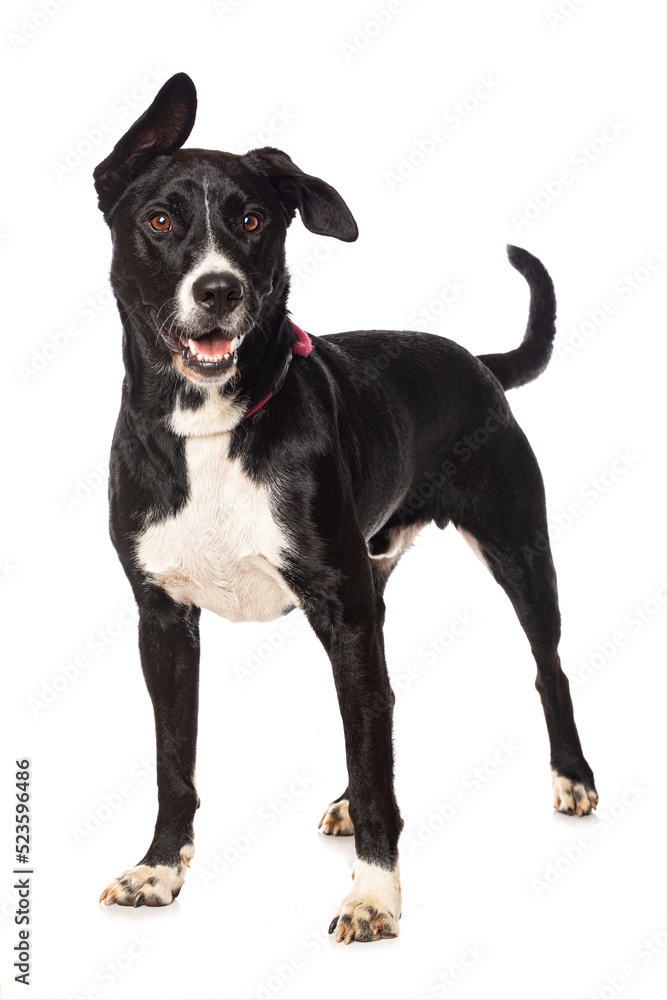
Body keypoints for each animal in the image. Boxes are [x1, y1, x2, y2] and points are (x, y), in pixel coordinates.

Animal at [95, 74, 600, 940]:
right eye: (158, 219)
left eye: (252, 219)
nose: (219, 289)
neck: (211, 425)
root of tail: (477, 362)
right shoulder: (162, 620)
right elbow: (173, 758)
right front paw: (160, 870)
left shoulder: (342, 613)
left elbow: (373, 762)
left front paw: (372, 895)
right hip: (376, 582)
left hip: (517, 550)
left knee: (547, 670)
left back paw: (571, 778)